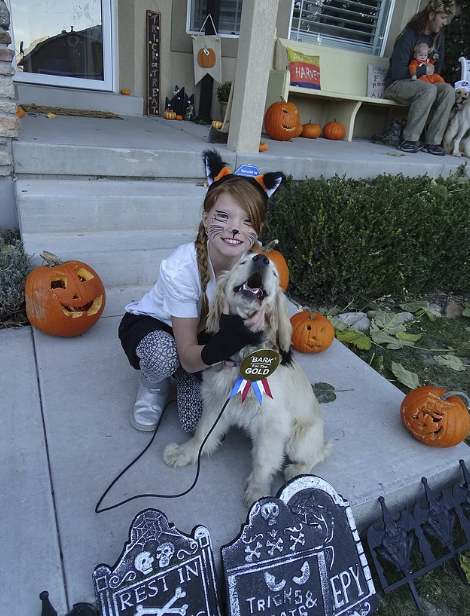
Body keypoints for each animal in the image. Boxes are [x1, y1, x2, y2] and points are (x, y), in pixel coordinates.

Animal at [163, 250, 328, 506]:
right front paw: (185, 453)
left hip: (298, 440)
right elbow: (202, 433)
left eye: (274, 274)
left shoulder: (273, 423)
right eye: (242, 261)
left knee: (320, 452)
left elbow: (263, 460)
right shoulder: (216, 402)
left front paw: (259, 493)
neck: (242, 358)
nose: (262, 259)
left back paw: (297, 470)